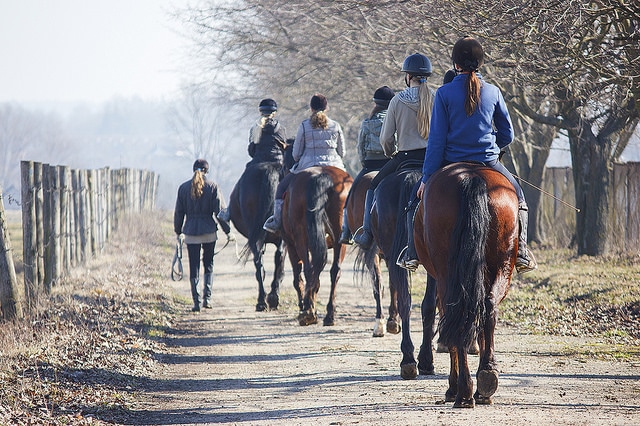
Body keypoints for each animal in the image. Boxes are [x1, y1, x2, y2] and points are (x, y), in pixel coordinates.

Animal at [280, 165, 352, 324]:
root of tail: (321, 175)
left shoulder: (291, 245)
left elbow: (298, 278)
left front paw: (306, 304)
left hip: (300, 238)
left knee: (308, 269)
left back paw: (307, 312)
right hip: (340, 237)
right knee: (334, 271)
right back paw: (329, 314)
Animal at [404, 161, 520, 408]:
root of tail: (471, 175)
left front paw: (453, 387)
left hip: (447, 275)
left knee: (456, 315)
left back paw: (463, 391)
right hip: (502, 264)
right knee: (488, 306)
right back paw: (486, 377)